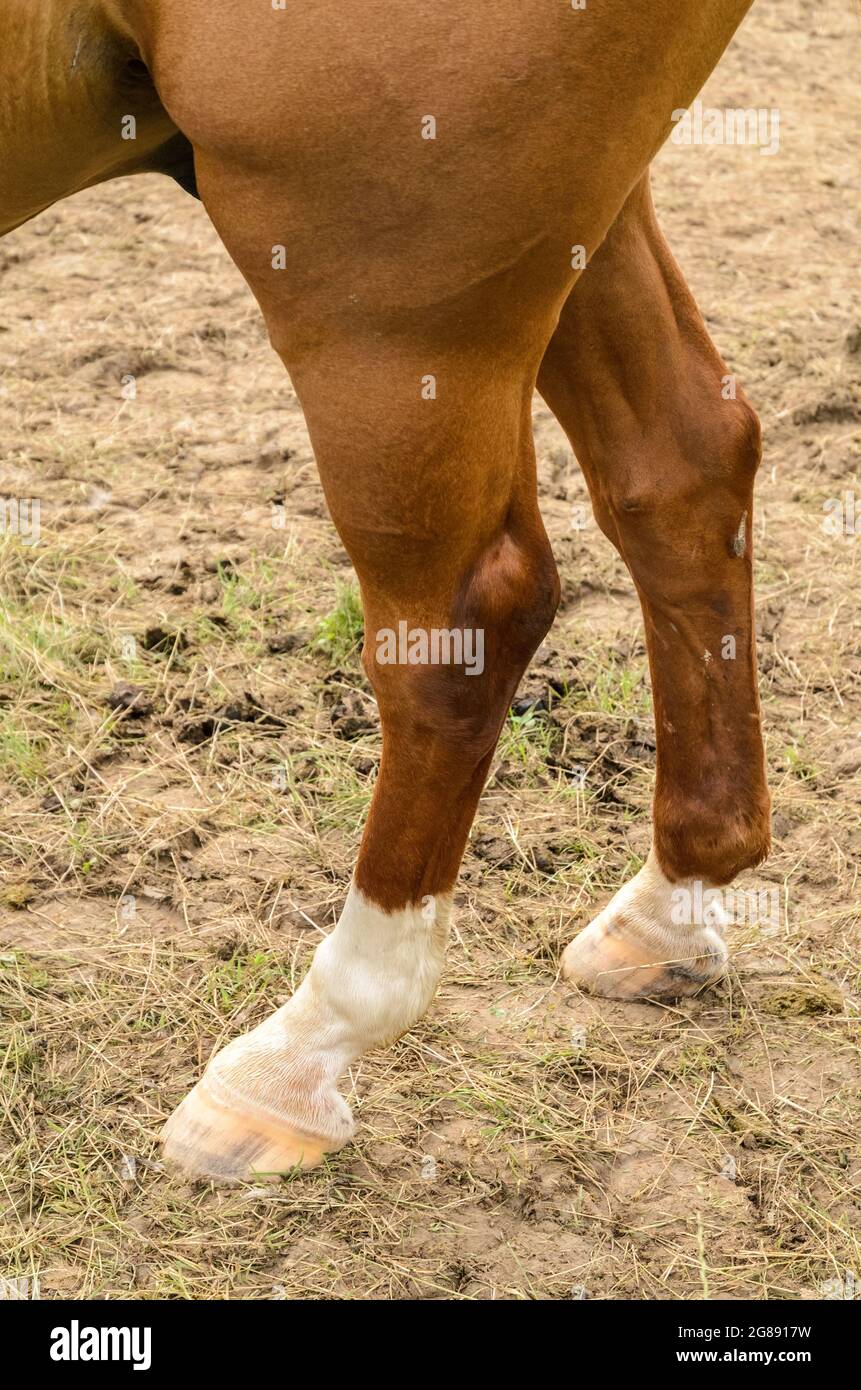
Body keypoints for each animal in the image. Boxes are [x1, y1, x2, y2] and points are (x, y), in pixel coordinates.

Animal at [1, 0, 773, 1178]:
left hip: (385, 270)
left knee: (467, 621)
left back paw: (301, 1055)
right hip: (573, 214)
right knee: (683, 466)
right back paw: (670, 911)